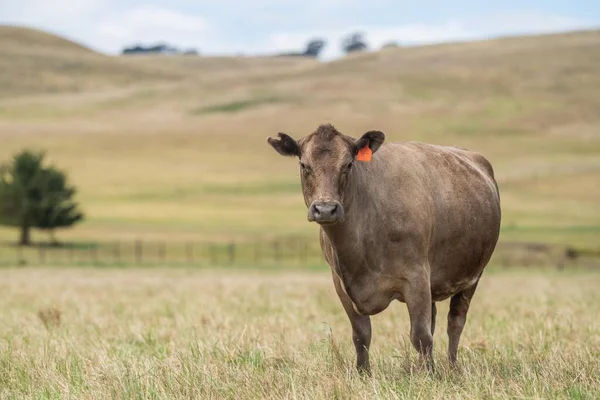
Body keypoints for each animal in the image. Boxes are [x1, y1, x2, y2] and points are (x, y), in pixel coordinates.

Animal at [268, 123, 502, 374]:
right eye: (304, 165)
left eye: (348, 164)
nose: (325, 209)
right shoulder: (340, 284)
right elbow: (361, 335)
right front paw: (363, 373)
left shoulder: (416, 276)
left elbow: (421, 336)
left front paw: (430, 375)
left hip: (472, 275)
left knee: (455, 322)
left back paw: (451, 367)